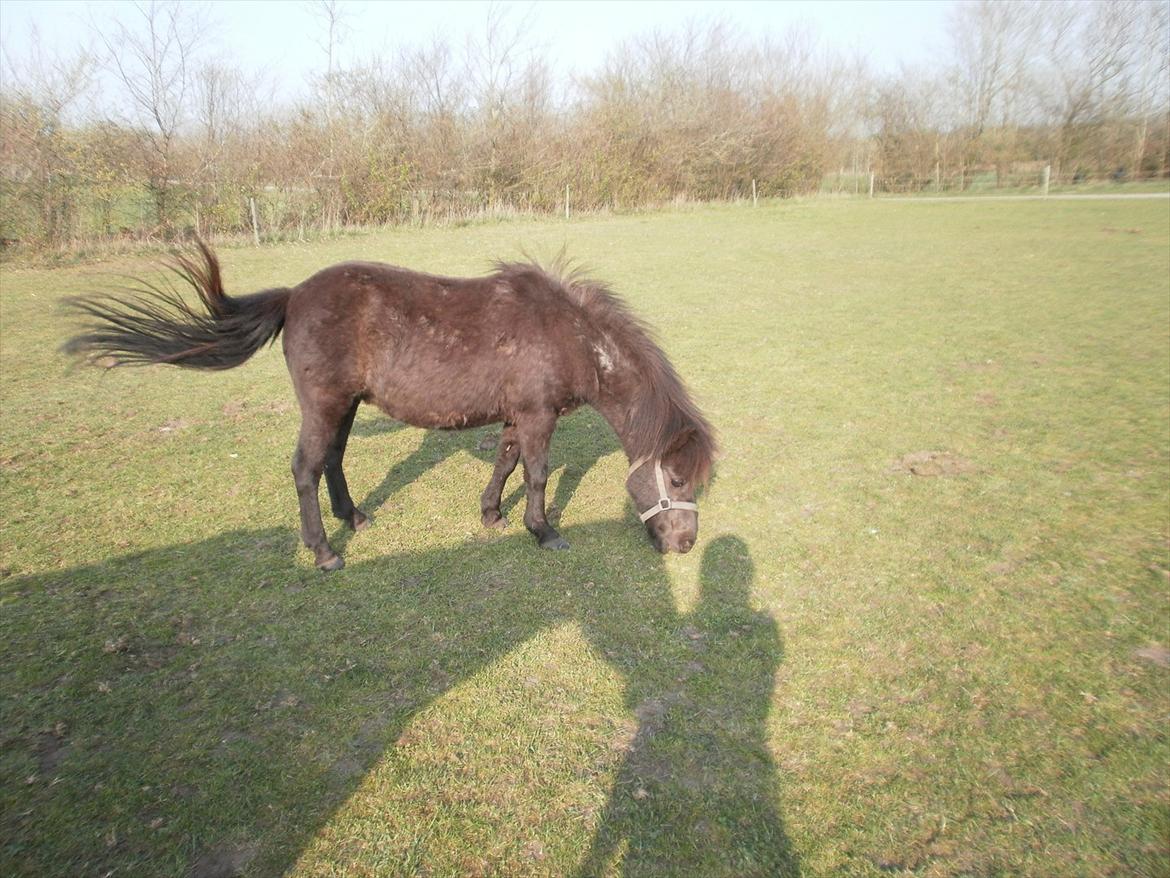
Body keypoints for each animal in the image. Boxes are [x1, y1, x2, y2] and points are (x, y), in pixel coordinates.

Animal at [68, 242, 716, 571]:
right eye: (679, 479)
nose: (686, 545)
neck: (570, 335)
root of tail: (294, 296)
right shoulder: (538, 416)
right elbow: (534, 473)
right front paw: (543, 531)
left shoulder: (518, 415)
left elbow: (505, 463)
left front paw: (491, 514)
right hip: (324, 404)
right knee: (305, 467)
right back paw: (324, 551)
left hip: (347, 404)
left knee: (332, 460)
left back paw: (353, 518)